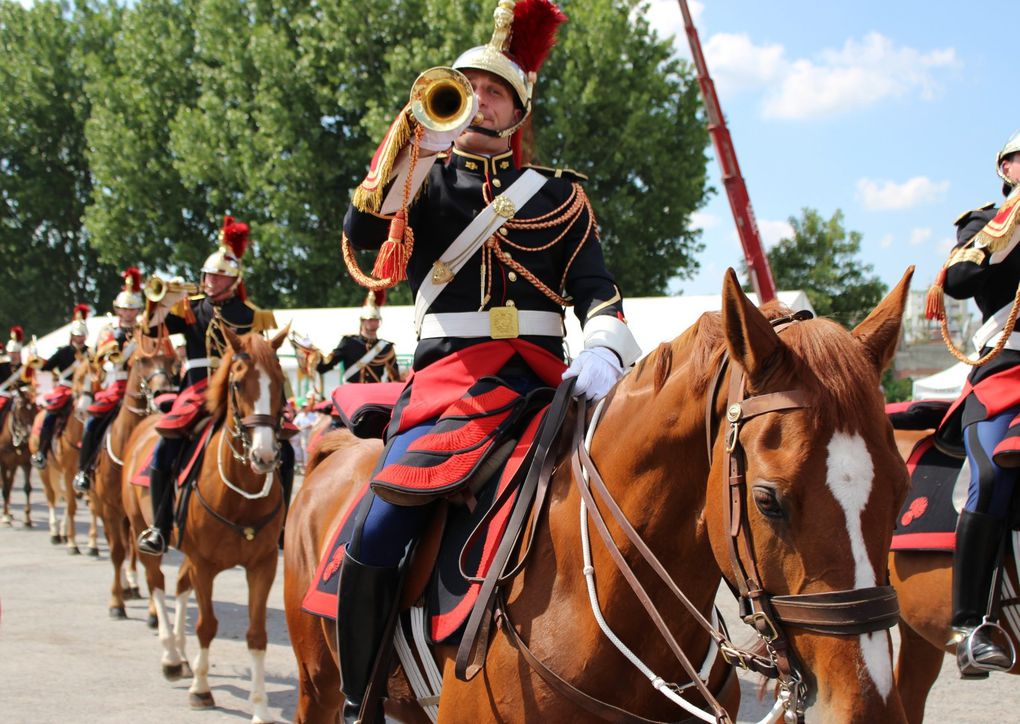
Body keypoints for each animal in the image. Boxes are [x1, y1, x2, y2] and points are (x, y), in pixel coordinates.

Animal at [0, 389, 36, 530]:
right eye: (20, 409)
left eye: (35, 409)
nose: (29, 436)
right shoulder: (3, 463)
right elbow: (5, 489)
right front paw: (5, 517)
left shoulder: (25, 463)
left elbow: (27, 488)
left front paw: (27, 519)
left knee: (10, 483)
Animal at [91, 336, 175, 619]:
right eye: (140, 360)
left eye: (171, 360)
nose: (163, 396)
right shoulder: (110, 509)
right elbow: (117, 552)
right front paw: (116, 602)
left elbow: (145, 557)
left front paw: (152, 608)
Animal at [126, 330, 291, 724]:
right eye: (237, 383)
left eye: (280, 383)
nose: (265, 456)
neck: (240, 495)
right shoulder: (205, 565)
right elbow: (207, 625)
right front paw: (201, 690)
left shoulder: (262, 566)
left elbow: (257, 634)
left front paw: (260, 708)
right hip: (144, 532)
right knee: (157, 584)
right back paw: (171, 657)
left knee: (179, 586)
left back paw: (184, 657)